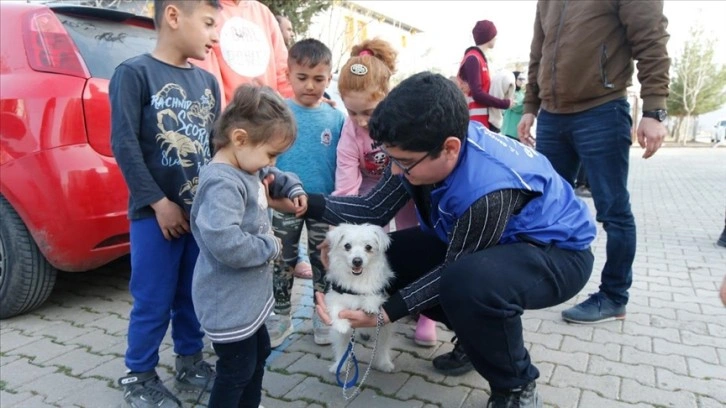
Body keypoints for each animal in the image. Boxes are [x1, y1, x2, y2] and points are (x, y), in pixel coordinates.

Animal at [328, 223, 398, 372]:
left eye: (368, 247)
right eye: (347, 246)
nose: (357, 261)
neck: (357, 279)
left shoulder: (380, 292)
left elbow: (373, 295)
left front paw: (369, 306)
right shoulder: (335, 296)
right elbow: (336, 308)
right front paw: (342, 324)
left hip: (384, 330)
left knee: (383, 346)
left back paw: (384, 363)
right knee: (342, 348)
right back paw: (339, 367)